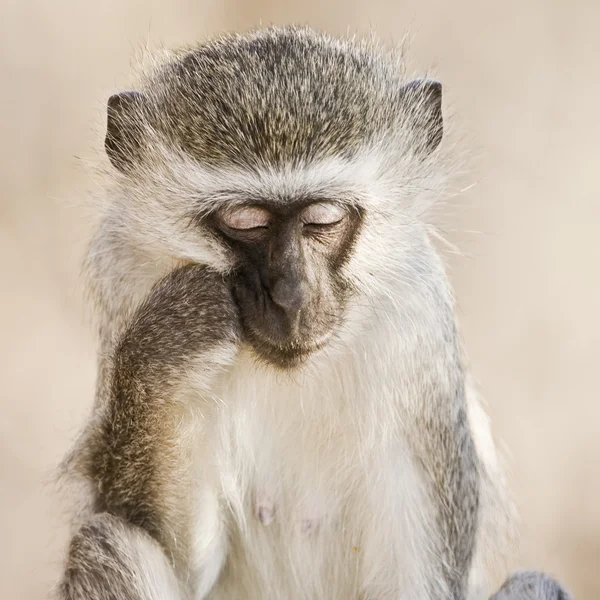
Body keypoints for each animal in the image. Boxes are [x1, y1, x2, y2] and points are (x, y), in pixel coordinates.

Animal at [55, 24, 572, 600]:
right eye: (247, 221)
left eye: (323, 219)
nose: (292, 294)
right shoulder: (125, 277)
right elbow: (182, 555)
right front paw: (170, 338)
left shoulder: (421, 339)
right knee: (106, 543)